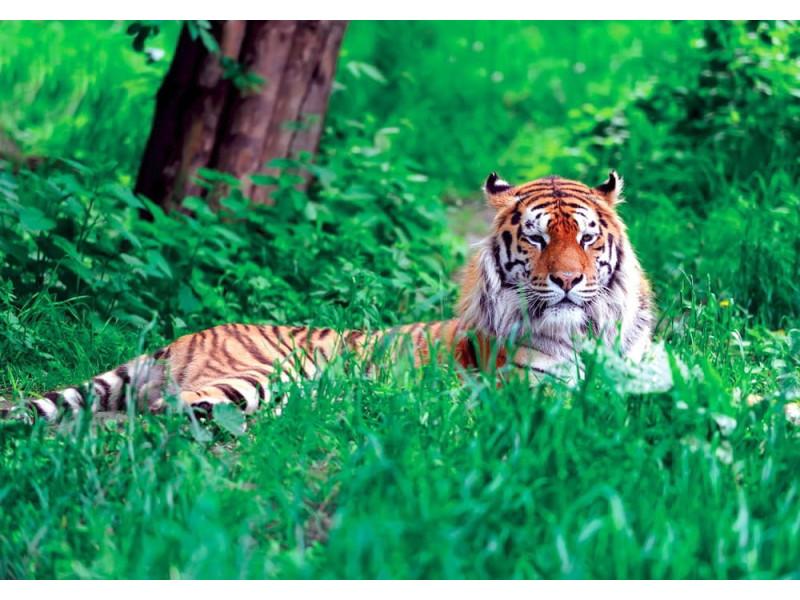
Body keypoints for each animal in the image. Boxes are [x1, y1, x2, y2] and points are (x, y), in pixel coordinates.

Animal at [6, 171, 654, 422]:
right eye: (537, 238)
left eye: (586, 238)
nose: (567, 281)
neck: (590, 332)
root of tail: (180, 338)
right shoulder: (534, 395)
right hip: (258, 375)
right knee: (171, 413)